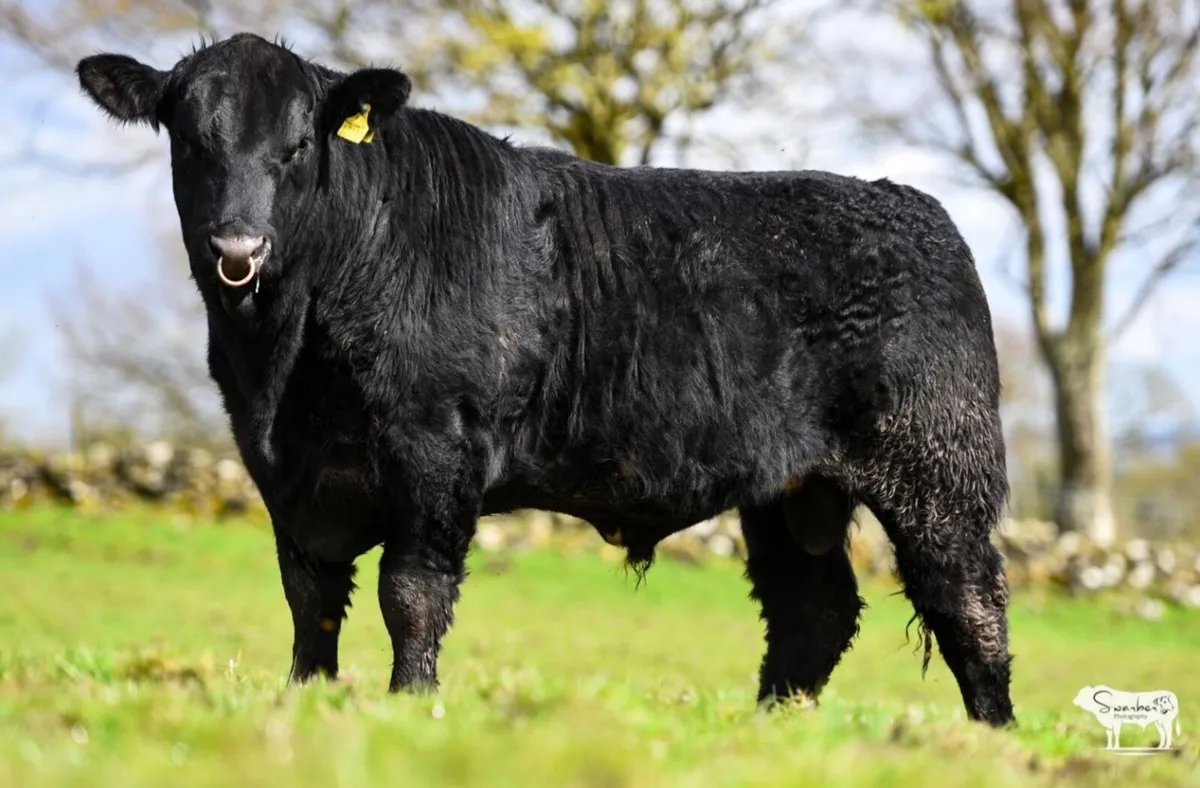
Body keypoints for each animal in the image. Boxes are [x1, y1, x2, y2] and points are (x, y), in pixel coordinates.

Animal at [75, 32, 1015, 726]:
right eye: (192, 141)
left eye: (297, 146)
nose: (238, 247)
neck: (286, 361)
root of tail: (913, 207)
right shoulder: (282, 470)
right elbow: (311, 599)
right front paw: (306, 700)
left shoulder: (435, 450)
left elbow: (409, 593)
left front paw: (410, 705)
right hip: (790, 486)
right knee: (811, 609)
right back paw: (772, 729)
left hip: (938, 465)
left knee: (968, 601)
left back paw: (989, 737)